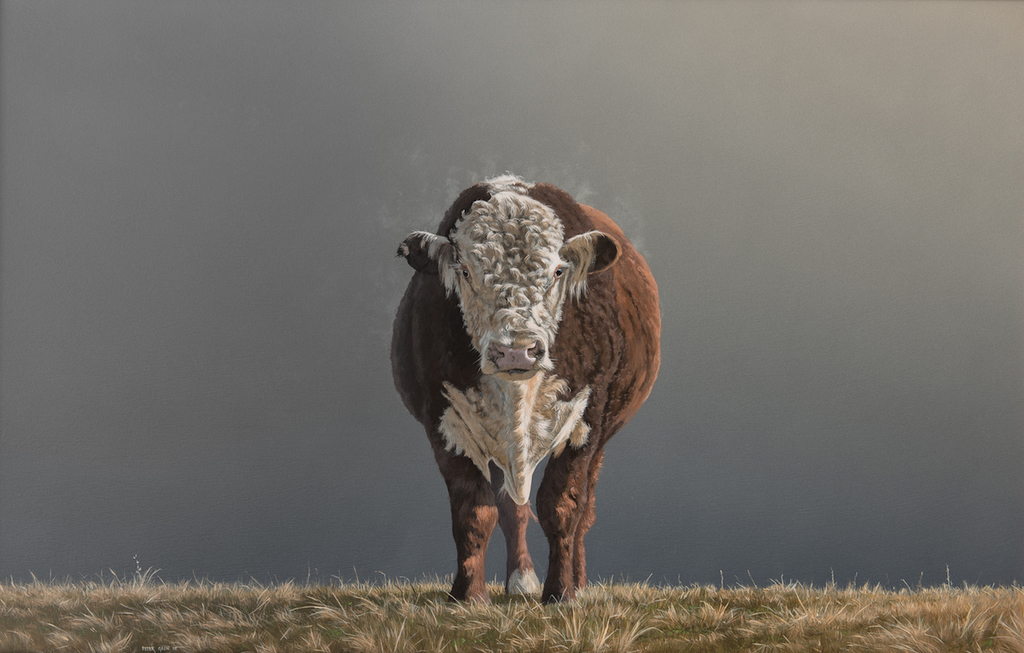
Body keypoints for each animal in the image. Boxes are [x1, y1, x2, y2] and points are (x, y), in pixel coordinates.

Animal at [391, 175, 660, 603]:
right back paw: (520, 579)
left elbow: (562, 506)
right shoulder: (444, 420)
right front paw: (468, 596)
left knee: (584, 512)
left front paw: (561, 593)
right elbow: (475, 511)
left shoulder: (587, 418)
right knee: (511, 508)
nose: (516, 351)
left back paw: (578, 583)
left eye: (558, 270)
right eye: (464, 270)